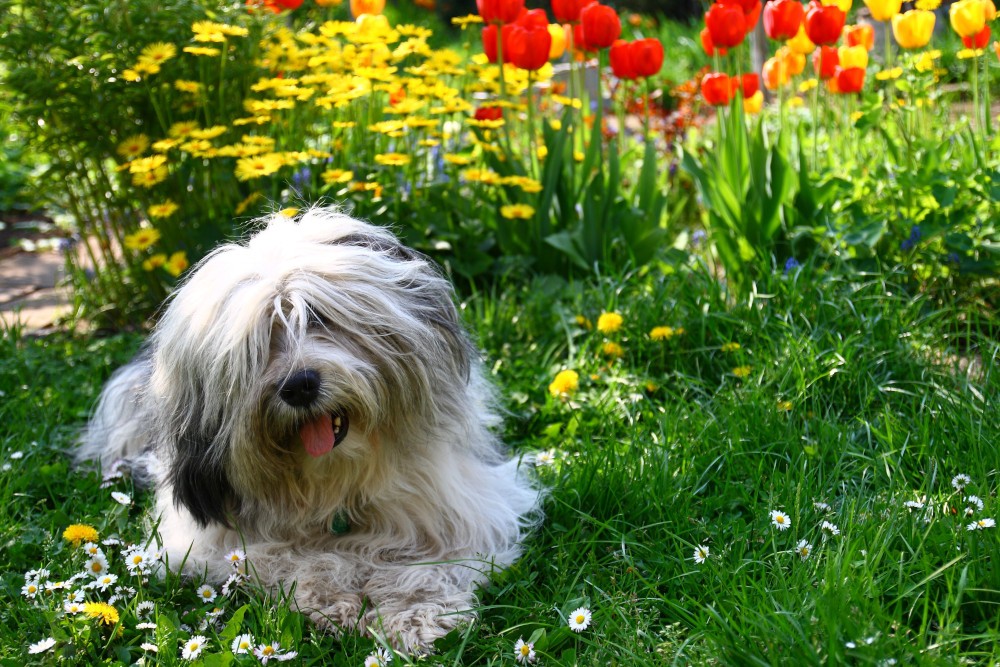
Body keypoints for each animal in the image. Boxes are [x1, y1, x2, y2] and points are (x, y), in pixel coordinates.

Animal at [79, 210, 544, 652]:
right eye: (255, 346)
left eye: (317, 316)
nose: (299, 386)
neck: (333, 482)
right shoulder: (211, 541)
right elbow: (291, 558)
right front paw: (334, 597)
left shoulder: (465, 509)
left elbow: (431, 566)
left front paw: (412, 617)